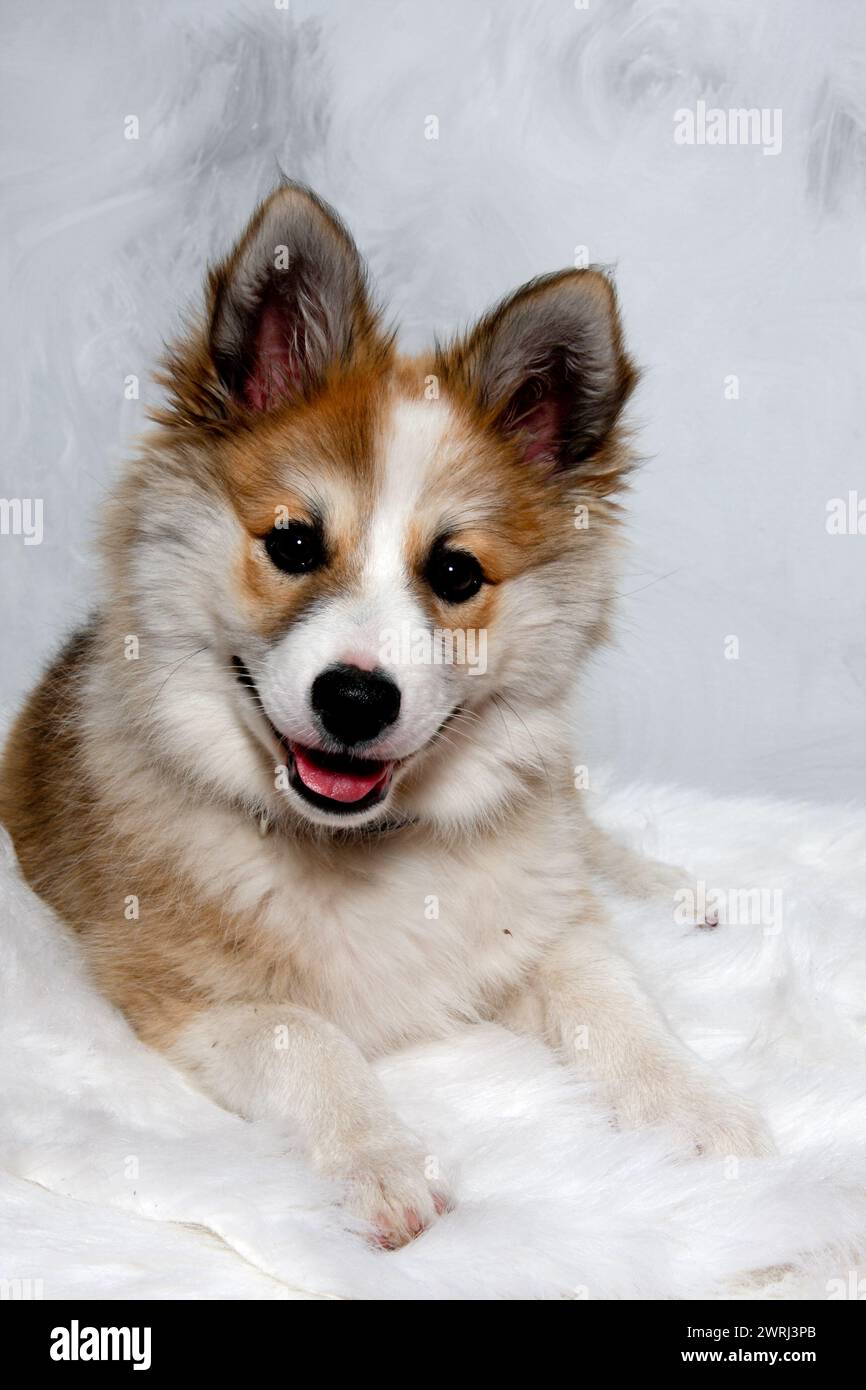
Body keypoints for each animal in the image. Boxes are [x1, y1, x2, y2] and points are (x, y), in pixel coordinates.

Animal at [0, 182, 772, 1251]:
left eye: (455, 573)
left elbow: (617, 1002)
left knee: (586, 836)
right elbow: (306, 1035)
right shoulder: (167, 991)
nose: (356, 699)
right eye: (292, 543)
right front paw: (379, 1158)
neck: (362, 848)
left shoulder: (546, 928)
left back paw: (674, 889)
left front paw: (697, 1107)